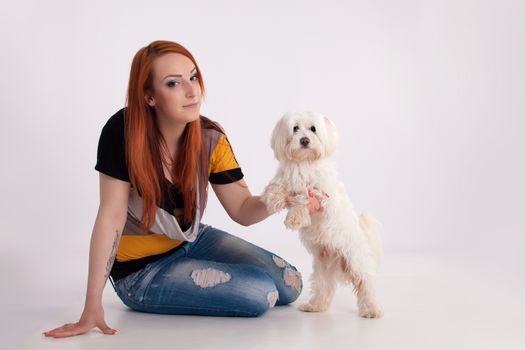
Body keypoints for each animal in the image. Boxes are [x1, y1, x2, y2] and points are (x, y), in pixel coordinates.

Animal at [260, 111, 380, 318]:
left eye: (313, 129)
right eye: (295, 128)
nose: (305, 140)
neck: (304, 163)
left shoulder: (322, 195)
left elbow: (302, 198)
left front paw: (295, 218)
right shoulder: (285, 178)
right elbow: (276, 185)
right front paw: (273, 199)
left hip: (356, 262)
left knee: (366, 283)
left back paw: (371, 309)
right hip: (323, 270)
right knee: (325, 288)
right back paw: (315, 306)